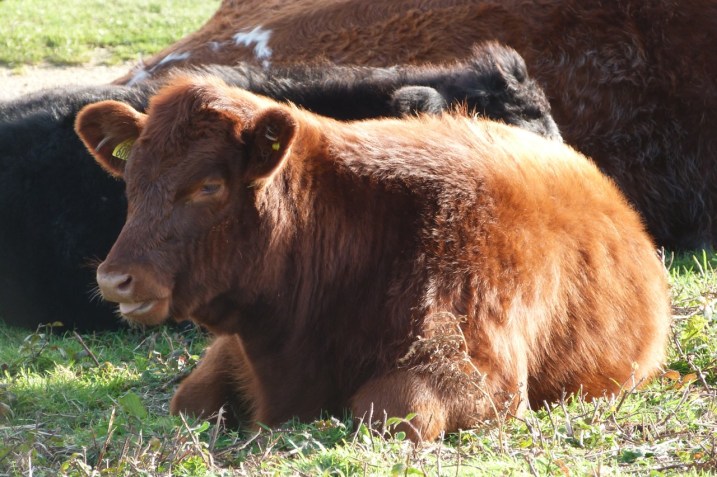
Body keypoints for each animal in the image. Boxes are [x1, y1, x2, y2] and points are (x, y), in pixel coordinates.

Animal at [75, 76, 671, 441]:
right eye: (130, 181)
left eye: (209, 186)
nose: (115, 278)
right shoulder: (231, 351)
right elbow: (190, 400)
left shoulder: (484, 379)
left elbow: (386, 411)